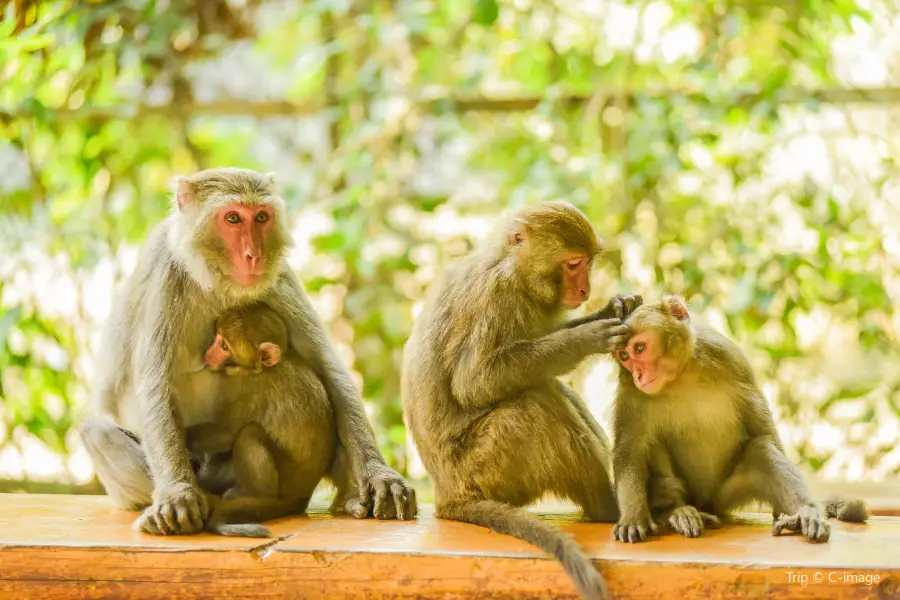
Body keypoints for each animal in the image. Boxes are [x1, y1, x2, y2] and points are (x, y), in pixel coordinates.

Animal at [79, 168, 416, 536]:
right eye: (232, 218)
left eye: (262, 218)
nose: (254, 255)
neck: (215, 280)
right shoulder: (166, 276)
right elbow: (156, 387)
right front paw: (177, 494)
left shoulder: (279, 276)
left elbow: (329, 369)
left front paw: (380, 475)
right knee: (97, 432)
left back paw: (350, 496)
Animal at [400, 203, 640, 600]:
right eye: (573, 263)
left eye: (587, 262)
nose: (585, 288)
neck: (508, 264)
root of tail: (449, 495)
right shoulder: (500, 295)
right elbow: (474, 382)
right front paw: (586, 338)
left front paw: (614, 307)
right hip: (486, 467)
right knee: (536, 403)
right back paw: (608, 507)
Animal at [612, 298, 864, 548]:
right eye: (624, 357)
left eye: (639, 348)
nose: (639, 375)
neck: (680, 376)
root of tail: (706, 503)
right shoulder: (630, 390)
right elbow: (630, 449)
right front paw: (633, 518)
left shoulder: (729, 357)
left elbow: (762, 428)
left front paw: (800, 510)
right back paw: (678, 510)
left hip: (725, 496)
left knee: (760, 449)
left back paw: (804, 514)